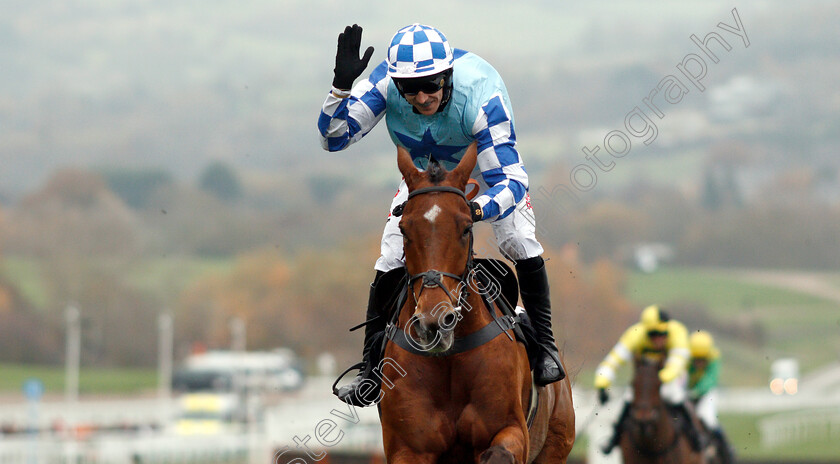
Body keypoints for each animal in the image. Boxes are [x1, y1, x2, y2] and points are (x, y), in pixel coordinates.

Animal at [378, 142, 576, 464]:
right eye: (405, 229)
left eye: (466, 228)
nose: (434, 322)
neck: (448, 359)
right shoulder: (408, 448)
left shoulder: (510, 430)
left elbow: (498, 452)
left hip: (556, 442)